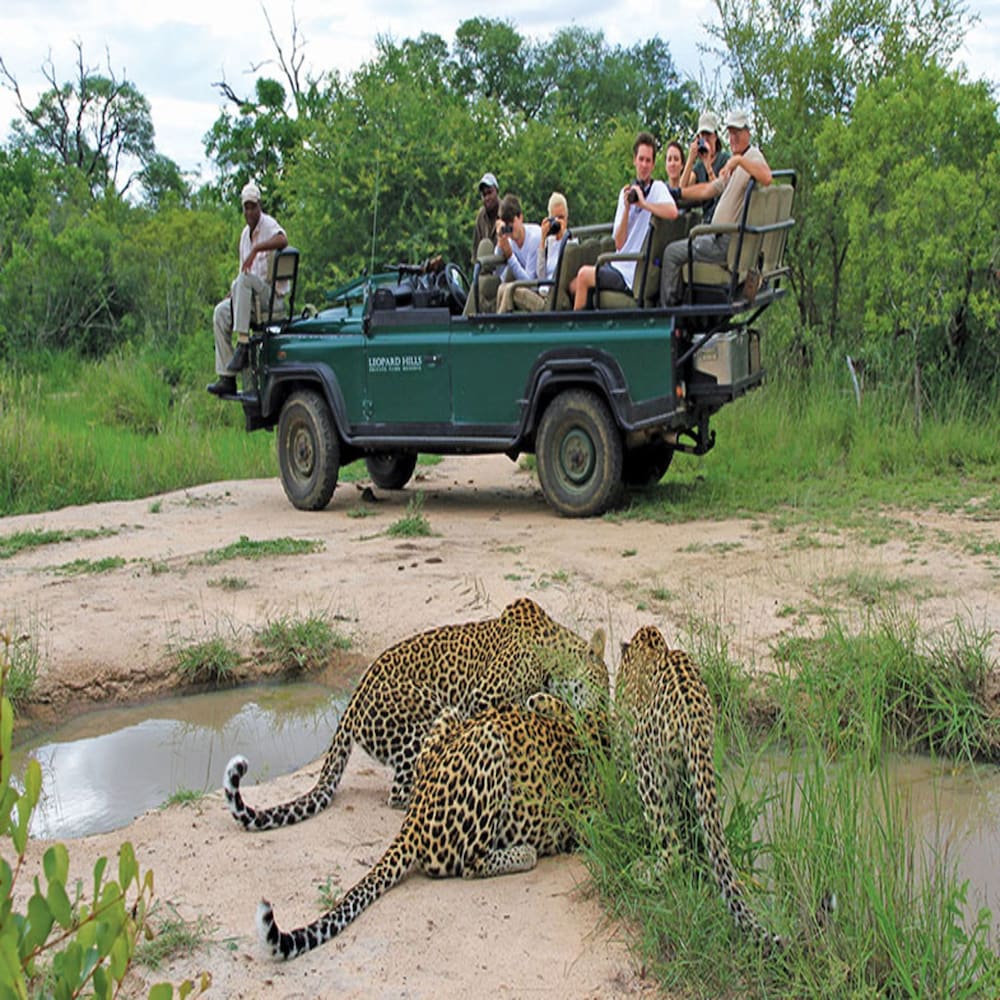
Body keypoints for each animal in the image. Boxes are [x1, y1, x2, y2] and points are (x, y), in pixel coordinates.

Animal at [225, 597, 609, 831]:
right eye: (604, 685)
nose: (606, 708)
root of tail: (351, 705)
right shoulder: (485, 696)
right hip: (420, 717)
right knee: (398, 794)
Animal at [257, 693, 602, 960]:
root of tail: (415, 814)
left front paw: (541, 702)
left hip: (450, 714)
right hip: (487, 741)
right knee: (470, 863)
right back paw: (525, 853)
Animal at [614, 624, 783, 950]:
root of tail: (691, 714)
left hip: (648, 764)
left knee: (670, 843)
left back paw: (648, 872)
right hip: (691, 768)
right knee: (694, 826)